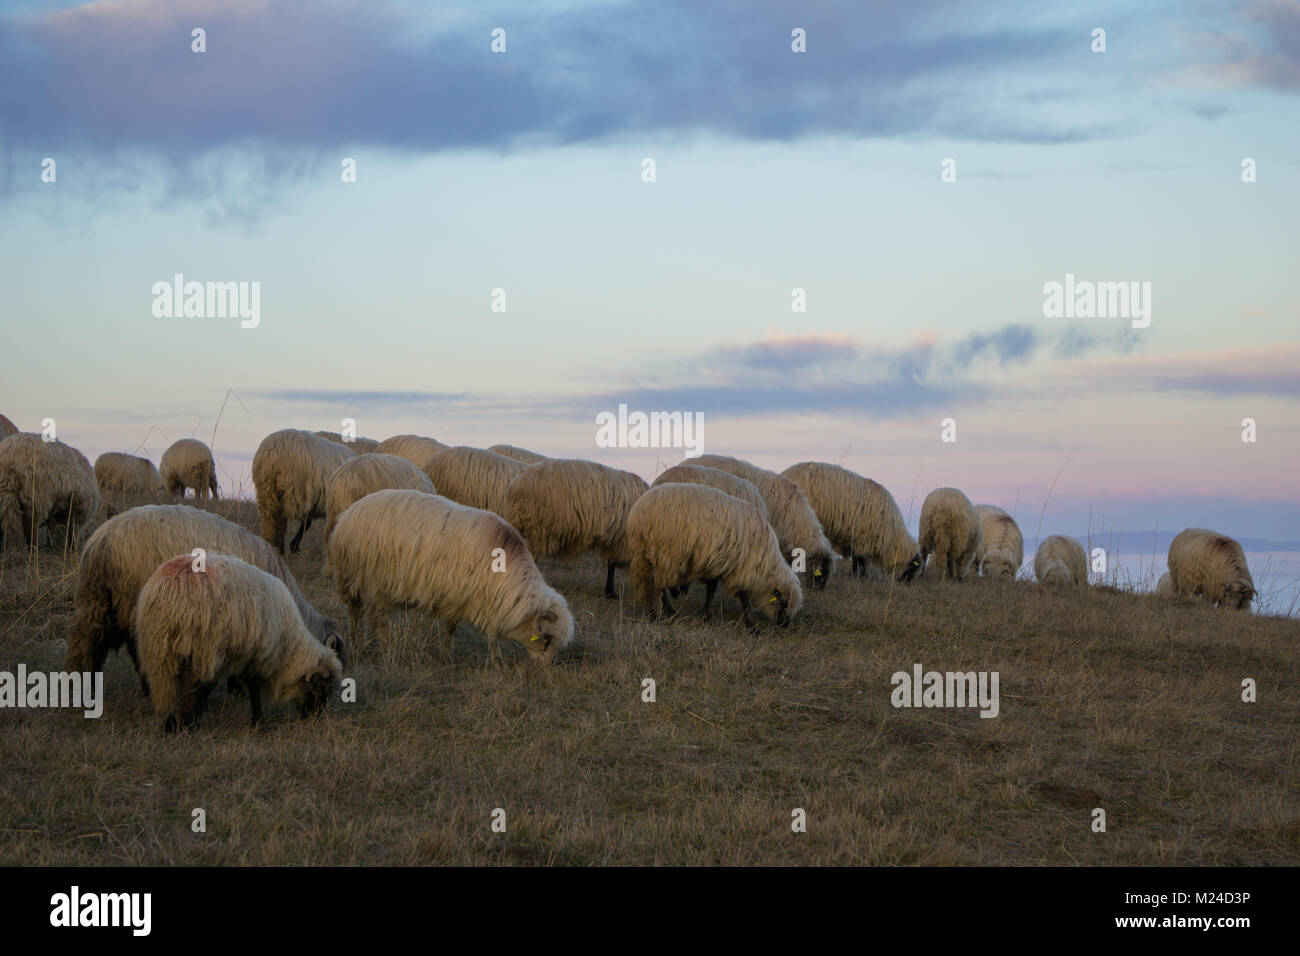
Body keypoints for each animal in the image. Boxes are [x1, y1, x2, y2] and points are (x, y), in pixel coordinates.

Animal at [66, 504, 343, 695]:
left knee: (89, 643)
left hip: (99, 600)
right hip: (129, 600)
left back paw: (86, 686)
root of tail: (99, 544)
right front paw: (237, 688)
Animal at [135, 552, 344, 731]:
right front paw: (259, 722)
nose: (315, 718)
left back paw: (169, 725)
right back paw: (187, 725)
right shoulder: (250, 653)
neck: (287, 645)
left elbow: (210, 686)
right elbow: (250, 686)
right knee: (188, 683)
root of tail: (169, 589)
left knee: (164, 684)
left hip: (157, 646)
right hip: (197, 644)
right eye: (320, 688)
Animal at [329, 489, 574, 665]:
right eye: (547, 639)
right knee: (376, 620)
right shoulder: (469, 597)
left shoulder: (463, 597)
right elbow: (480, 632)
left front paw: (447, 656)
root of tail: (347, 514)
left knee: (356, 614)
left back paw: (358, 644)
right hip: (370, 580)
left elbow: (454, 628)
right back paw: (387, 651)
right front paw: (496, 661)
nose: (547, 667)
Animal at [626, 483, 802, 629]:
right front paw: (750, 625)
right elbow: (741, 595)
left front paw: (707, 615)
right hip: (664, 554)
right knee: (657, 585)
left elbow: (712, 589)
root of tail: (638, 513)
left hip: (647, 554)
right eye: (783, 604)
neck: (763, 564)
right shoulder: (737, 566)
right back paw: (660, 613)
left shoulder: (717, 563)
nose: (784, 625)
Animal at [781, 461, 920, 583]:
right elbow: (859, 562)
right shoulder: (863, 540)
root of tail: (785, 473)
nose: (906, 583)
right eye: (913, 568)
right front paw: (859, 577)